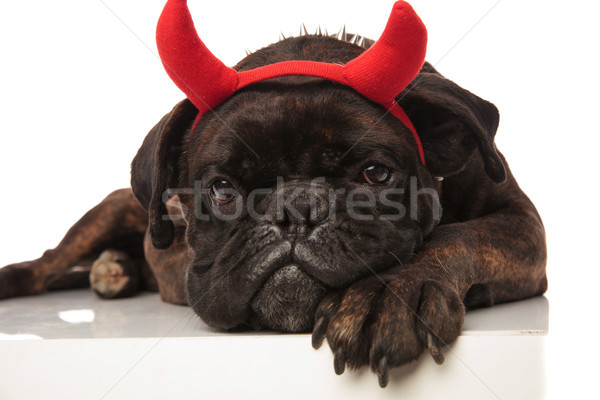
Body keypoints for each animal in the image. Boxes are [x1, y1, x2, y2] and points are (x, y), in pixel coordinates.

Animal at [0, 0, 548, 388]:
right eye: (222, 189)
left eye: (375, 173)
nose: (297, 208)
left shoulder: (520, 224)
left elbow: (458, 237)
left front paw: (391, 293)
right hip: (108, 210)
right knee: (49, 262)